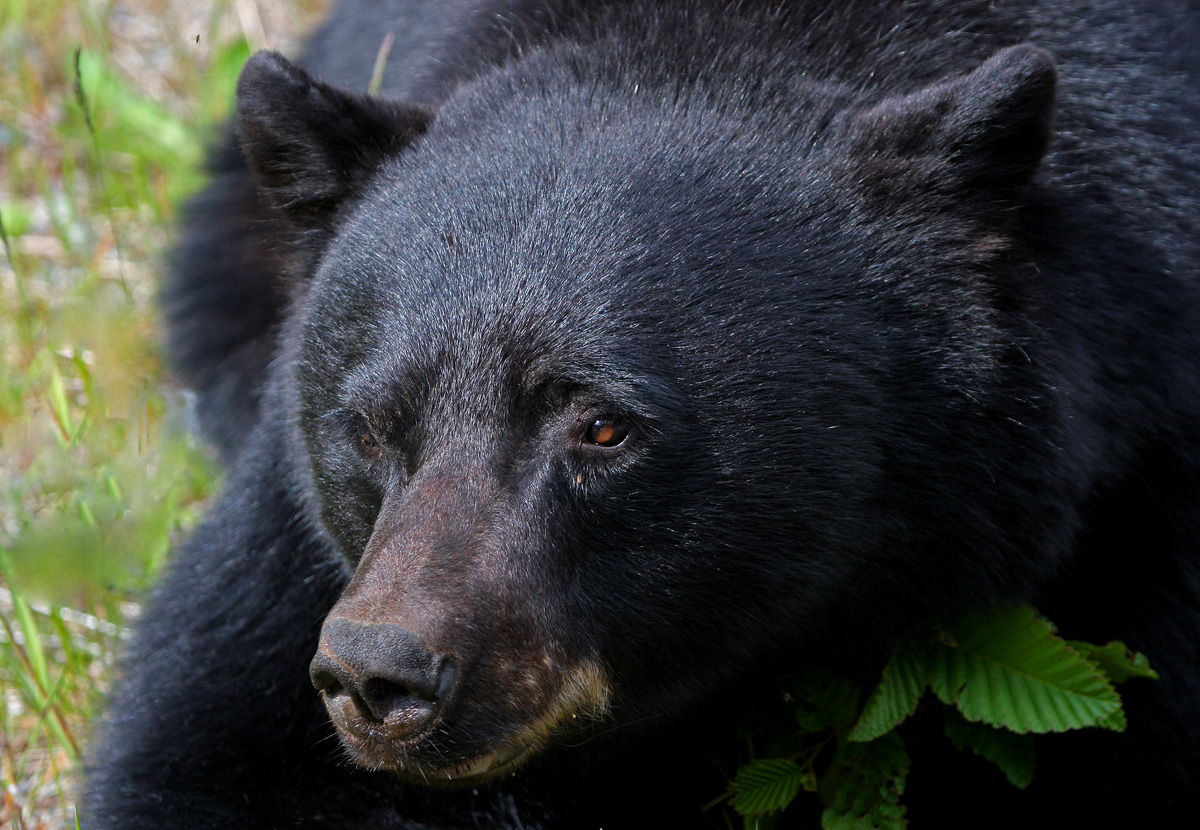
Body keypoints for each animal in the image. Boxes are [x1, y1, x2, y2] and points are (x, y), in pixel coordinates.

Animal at [87, 0, 1200, 825]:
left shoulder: (1142, 478)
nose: (379, 676)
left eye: (602, 425)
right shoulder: (298, 542)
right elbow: (207, 747)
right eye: (368, 425)